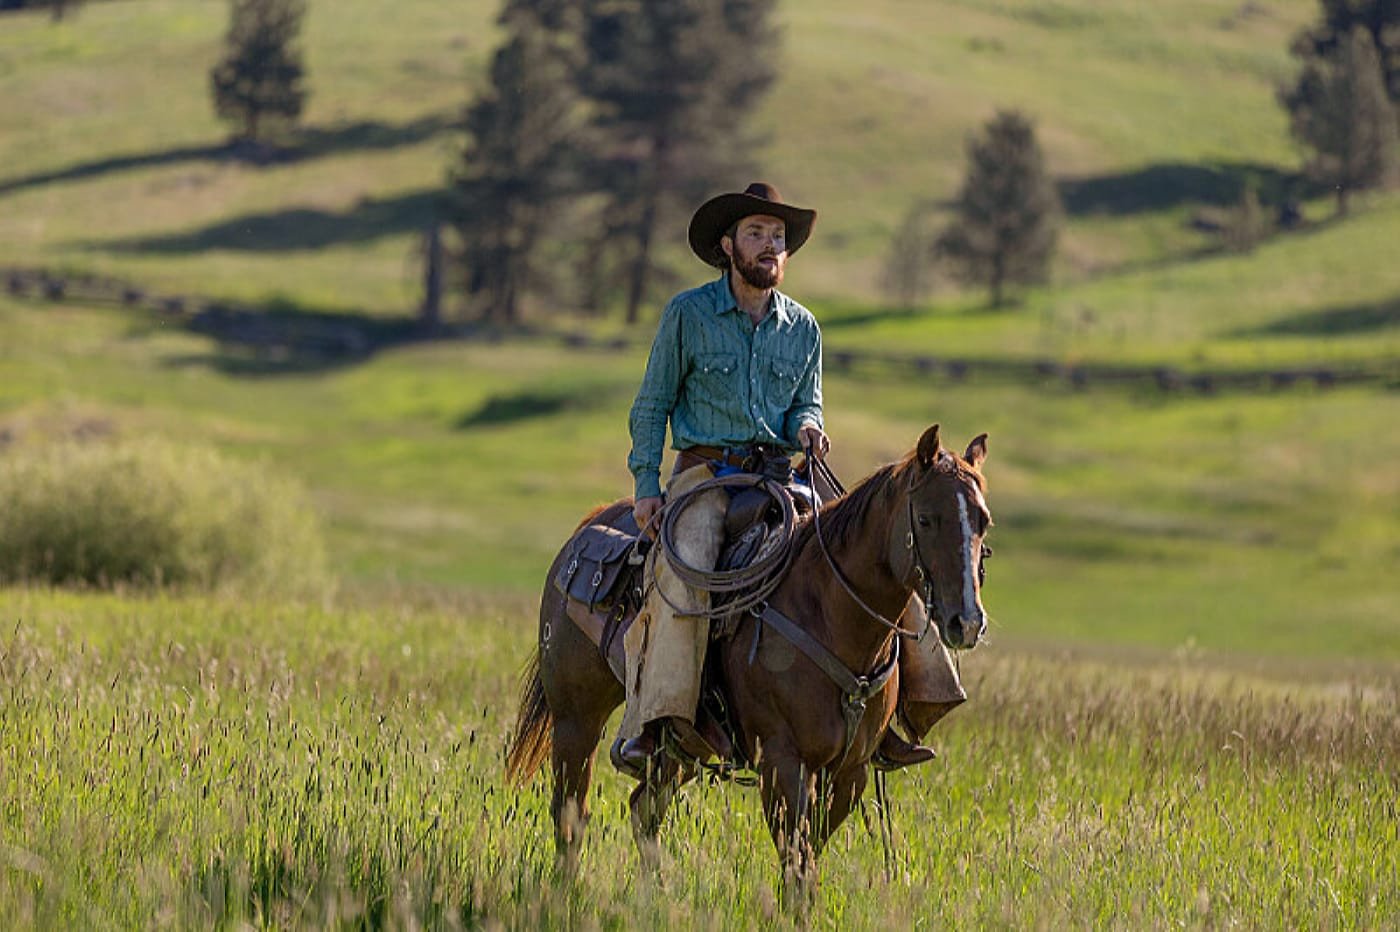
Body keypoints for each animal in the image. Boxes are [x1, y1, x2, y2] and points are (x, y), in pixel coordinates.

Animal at [509, 425, 991, 895]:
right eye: (926, 519)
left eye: (983, 523)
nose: (965, 621)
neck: (829, 611)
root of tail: (587, 528)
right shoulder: (782, 762)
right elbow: (798, 868)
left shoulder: (849, 771)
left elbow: (808, 858)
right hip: (576, 719)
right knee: (570, 812)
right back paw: (565, 894)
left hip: (683, 748)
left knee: (643, 808)